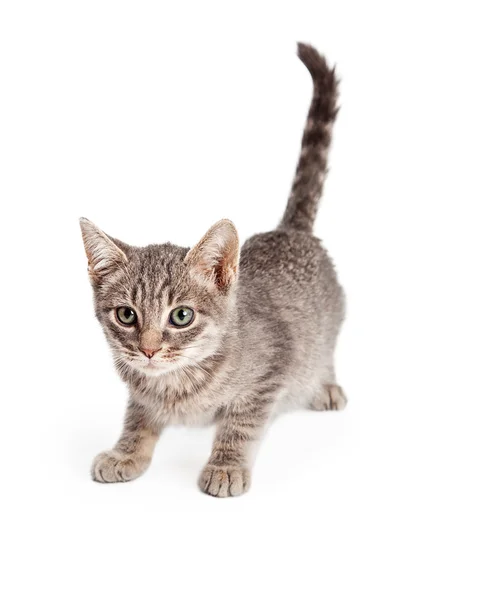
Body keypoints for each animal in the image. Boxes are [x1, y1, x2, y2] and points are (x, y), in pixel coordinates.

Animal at [80, 43, 346, 496]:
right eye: (126, 315)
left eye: (181, 316)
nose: (148, 350)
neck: (178, 381)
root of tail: (288, 229)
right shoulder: (140, 391)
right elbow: (137, 417)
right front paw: (125, 453)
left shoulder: (269, 375)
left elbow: (241, 424)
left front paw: (225, 465)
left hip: (328, 325)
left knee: (324, 350)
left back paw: (324, 385)